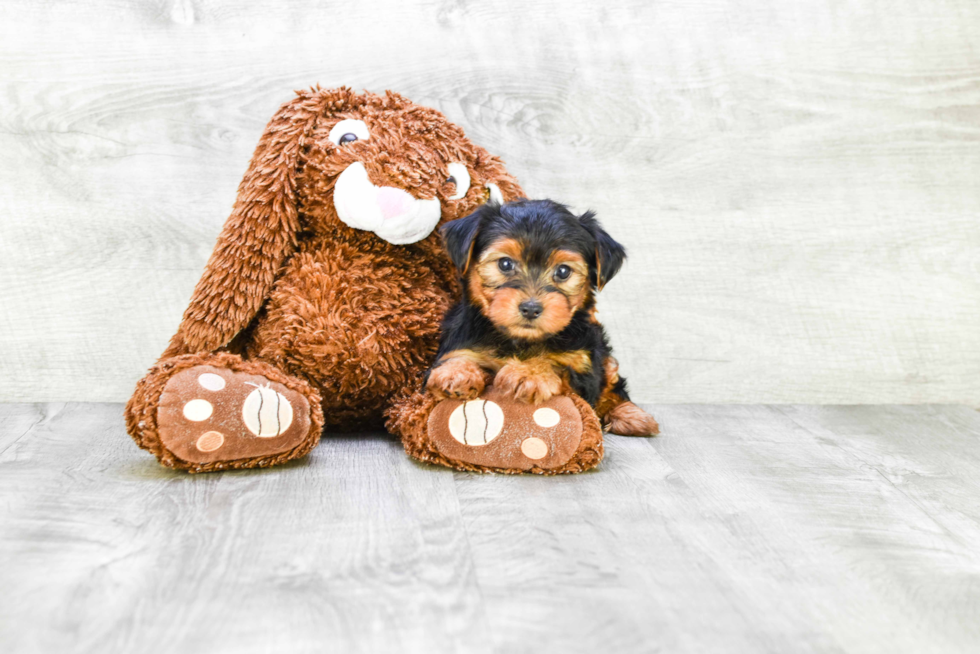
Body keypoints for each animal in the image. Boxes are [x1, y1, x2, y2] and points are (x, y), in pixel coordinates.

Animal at [424, 199, 660, 436]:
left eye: (563, 271)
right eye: (505, 264)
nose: (530, 308)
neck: (520, 340)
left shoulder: (584, 371)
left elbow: (559, 368)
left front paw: (529, 372)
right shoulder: (461, 343)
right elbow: (456, 358)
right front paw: (455, 372)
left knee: (613, 384)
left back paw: (631, 416)